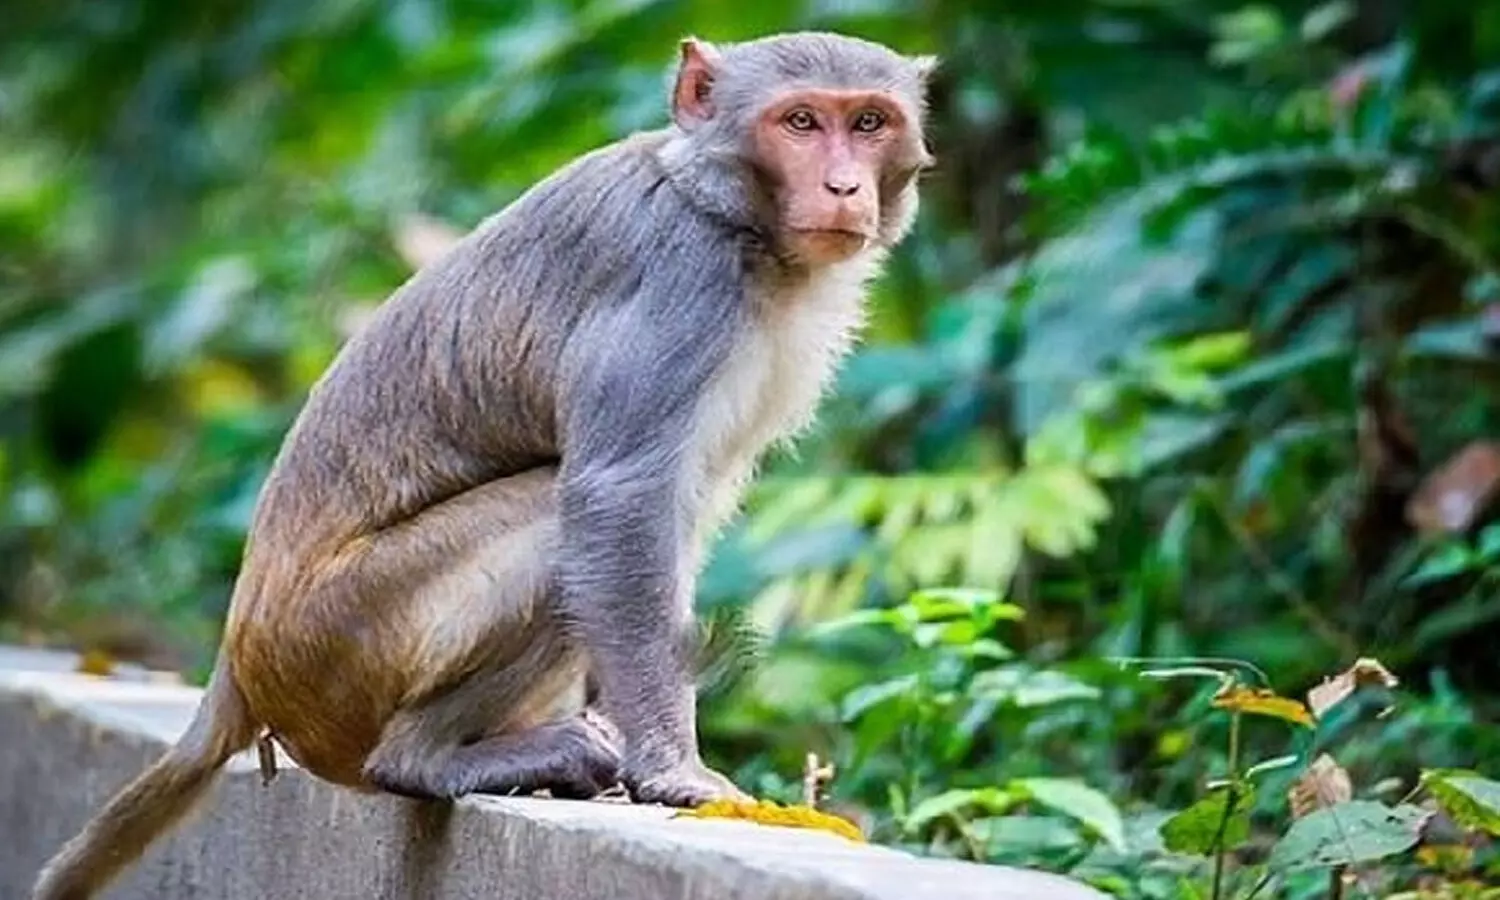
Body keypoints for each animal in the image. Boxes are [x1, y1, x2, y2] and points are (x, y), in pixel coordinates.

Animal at [32, 31, 936, 900]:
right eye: (800, 122)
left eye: (868, 123)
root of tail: (238, 661)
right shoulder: (683, 283)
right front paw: (676, 769)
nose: (844, 187)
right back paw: (427, 758)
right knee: (550, 523)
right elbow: (620, 497)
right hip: (346, 644)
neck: (726, 213)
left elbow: (682, 509)